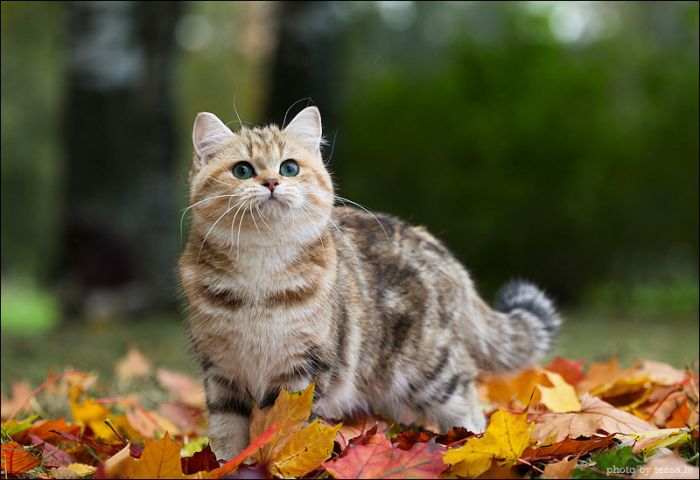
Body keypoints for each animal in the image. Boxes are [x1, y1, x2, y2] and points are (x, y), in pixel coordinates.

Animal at [178, 107, 560, 460]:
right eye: (242, 170)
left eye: (289, 168)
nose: (271, 182)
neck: (260, 273)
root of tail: (445, 256)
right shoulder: (220, 371)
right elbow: (227, 433)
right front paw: (227, 465)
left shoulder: (303, 372)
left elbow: (285, 429)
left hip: (431, 369)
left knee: (467, 402)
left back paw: (474, 445)